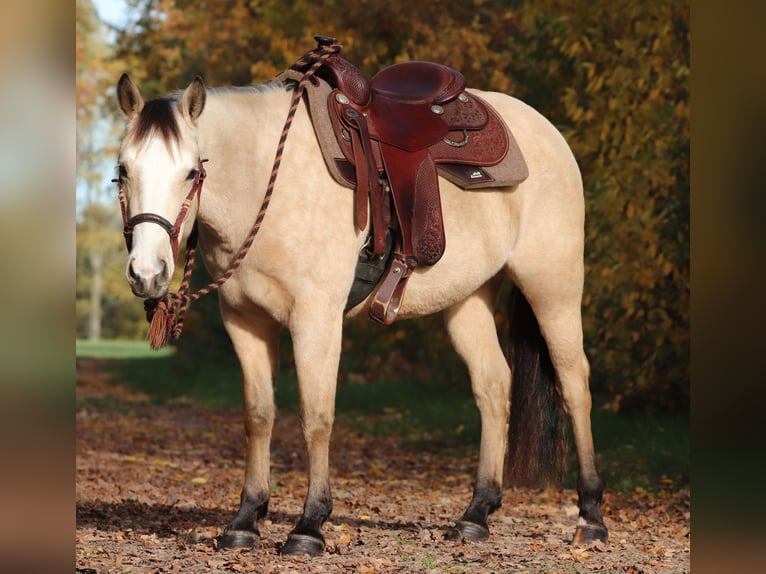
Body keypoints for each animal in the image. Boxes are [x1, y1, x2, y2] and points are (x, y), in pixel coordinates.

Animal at [114, 52, 607, 556]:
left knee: (575, 384)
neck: (268, 183)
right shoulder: (245, 322)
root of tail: (547, 132)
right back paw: (476, 515)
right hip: (468, 300)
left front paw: (309, 525)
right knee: (493, 386)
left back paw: (590, 517)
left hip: (553, 284)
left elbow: (316, 417)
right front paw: (246, 520)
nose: (147, 273)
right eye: (124, 169)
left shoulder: (316, 319)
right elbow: (258, 416)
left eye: (192, 172)